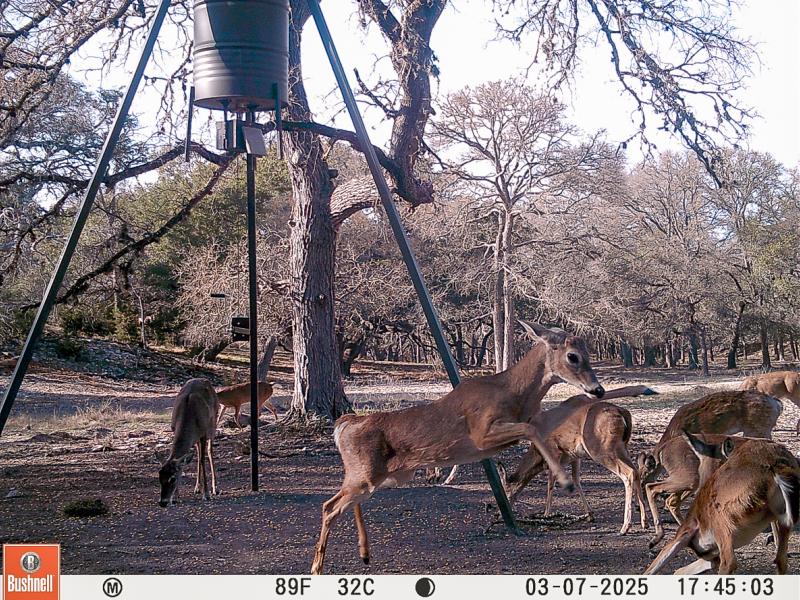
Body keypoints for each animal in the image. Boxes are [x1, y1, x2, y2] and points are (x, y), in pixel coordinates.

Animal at [158, 378, 220, 507]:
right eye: (160, 477)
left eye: (173, 479)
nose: (163, 502)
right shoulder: (174, 428)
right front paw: (175, 497)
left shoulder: (203, 433)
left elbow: (202, 460)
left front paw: (206, 494)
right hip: (196, 438)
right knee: (197, 453)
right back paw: (197, 488)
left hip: (213, 422)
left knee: (209, 451)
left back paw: (215, 488)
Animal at [310, 322, 605, 575]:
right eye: (573, 356)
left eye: (589, 353)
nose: (598, 389)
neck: (514, 394)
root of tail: (345, 425)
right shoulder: (480, 435)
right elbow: (529, 431)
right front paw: (565, 481)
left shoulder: (526, 424)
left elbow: (542, 426)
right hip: (365, 475)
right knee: (328, 506)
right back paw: (317, 569)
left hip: (381, 476)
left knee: (344, 503)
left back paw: (364, 554)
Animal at [497, 385, 655, 534]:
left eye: (505, 490)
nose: (499, 514)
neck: (536, 453)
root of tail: (623, 413)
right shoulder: (574, 456)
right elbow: (576, 480)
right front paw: (590, 514)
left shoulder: (553, 451)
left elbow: (551, 482)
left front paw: (546, 514)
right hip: (622, 447)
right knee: (636, 470)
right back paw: (644, 522)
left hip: (601, 448)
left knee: (628, 473)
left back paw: (625, 527)